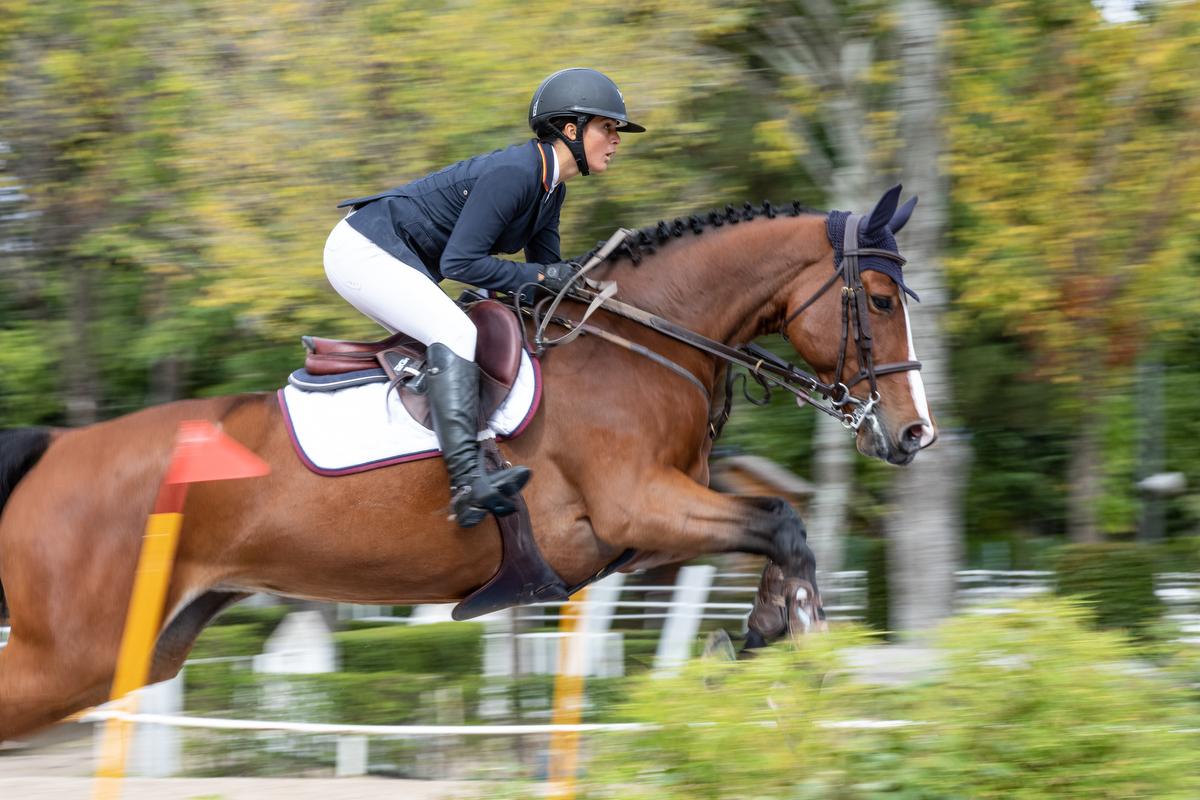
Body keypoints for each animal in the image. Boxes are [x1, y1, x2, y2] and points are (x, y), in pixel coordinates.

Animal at [0, 184, 936, 743]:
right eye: (879, 300)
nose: (912, 435)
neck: (644, 342)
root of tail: (57, 449)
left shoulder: (636, 535)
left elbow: (777, 530)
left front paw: (763, 637)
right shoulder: (637, 505)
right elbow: (782, 523)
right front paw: (795, 649)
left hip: (145, 644)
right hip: (74, 654)